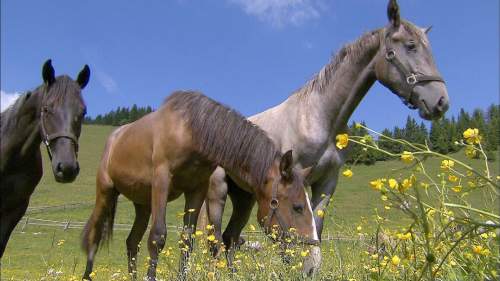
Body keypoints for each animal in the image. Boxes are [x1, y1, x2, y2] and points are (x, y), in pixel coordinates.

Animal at [81, 91, 316, 280]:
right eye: (298, 207)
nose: (310, 263)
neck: (190, 129)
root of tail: (114, 138)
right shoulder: (162, 180)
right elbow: (158, 236)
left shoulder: (197, 188)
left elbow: (187, 240)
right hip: (106, 192)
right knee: (95, 236)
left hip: (143, 204)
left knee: (132, 242)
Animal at [203, 0, 450, 274]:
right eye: (410, 46)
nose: (440, 102)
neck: (319, 117)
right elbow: (286, 237)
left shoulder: (327, 182)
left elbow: (315, 228)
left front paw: (309, 268)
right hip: (217, 191)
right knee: (213, 239)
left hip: (244, 197)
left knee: (230, 238)